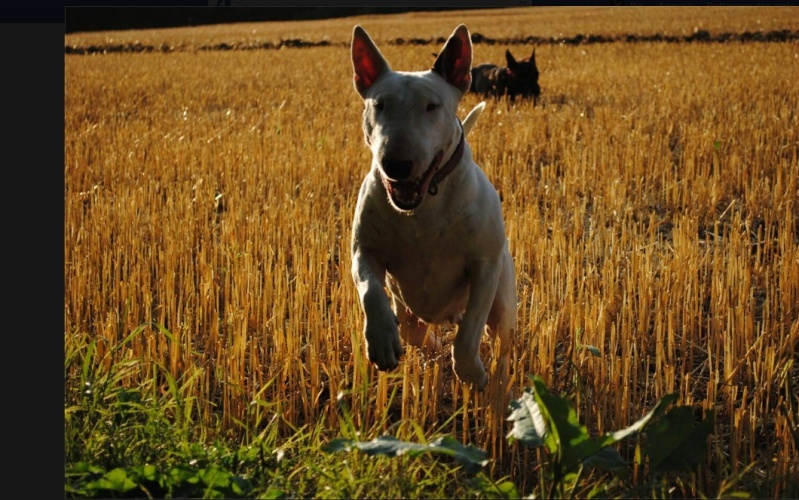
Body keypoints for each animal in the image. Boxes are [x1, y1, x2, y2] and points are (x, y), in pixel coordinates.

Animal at [352, 23, 520, 390]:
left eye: (432, 106)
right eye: (379, 104)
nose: (396, 164)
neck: (422, 207)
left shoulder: (485, 266)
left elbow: (469, 334)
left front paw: (472, 373)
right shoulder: (364, 250)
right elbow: (370, 289)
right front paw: (382, 340)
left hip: (504, 304)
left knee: (502, 343)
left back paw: (498, 385)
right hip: (410, 312)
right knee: (416, 333)